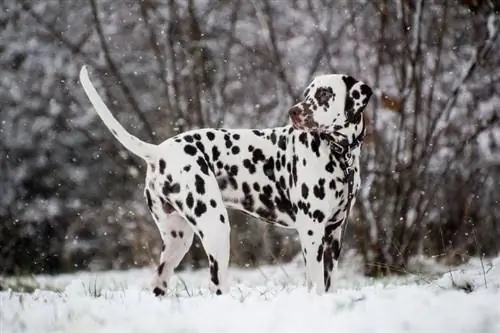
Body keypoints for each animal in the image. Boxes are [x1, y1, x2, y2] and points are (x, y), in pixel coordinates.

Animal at [79, 65, 372, 296]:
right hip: (216, 229)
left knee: (158, 283)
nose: (294, 111)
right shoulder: (311, 230)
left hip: (177, 240)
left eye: (324, 93)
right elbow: (316, 283)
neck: (338, 153)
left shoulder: (334, 233)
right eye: (306, 94)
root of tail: (160, 151)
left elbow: (327, 282)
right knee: (216, 286)